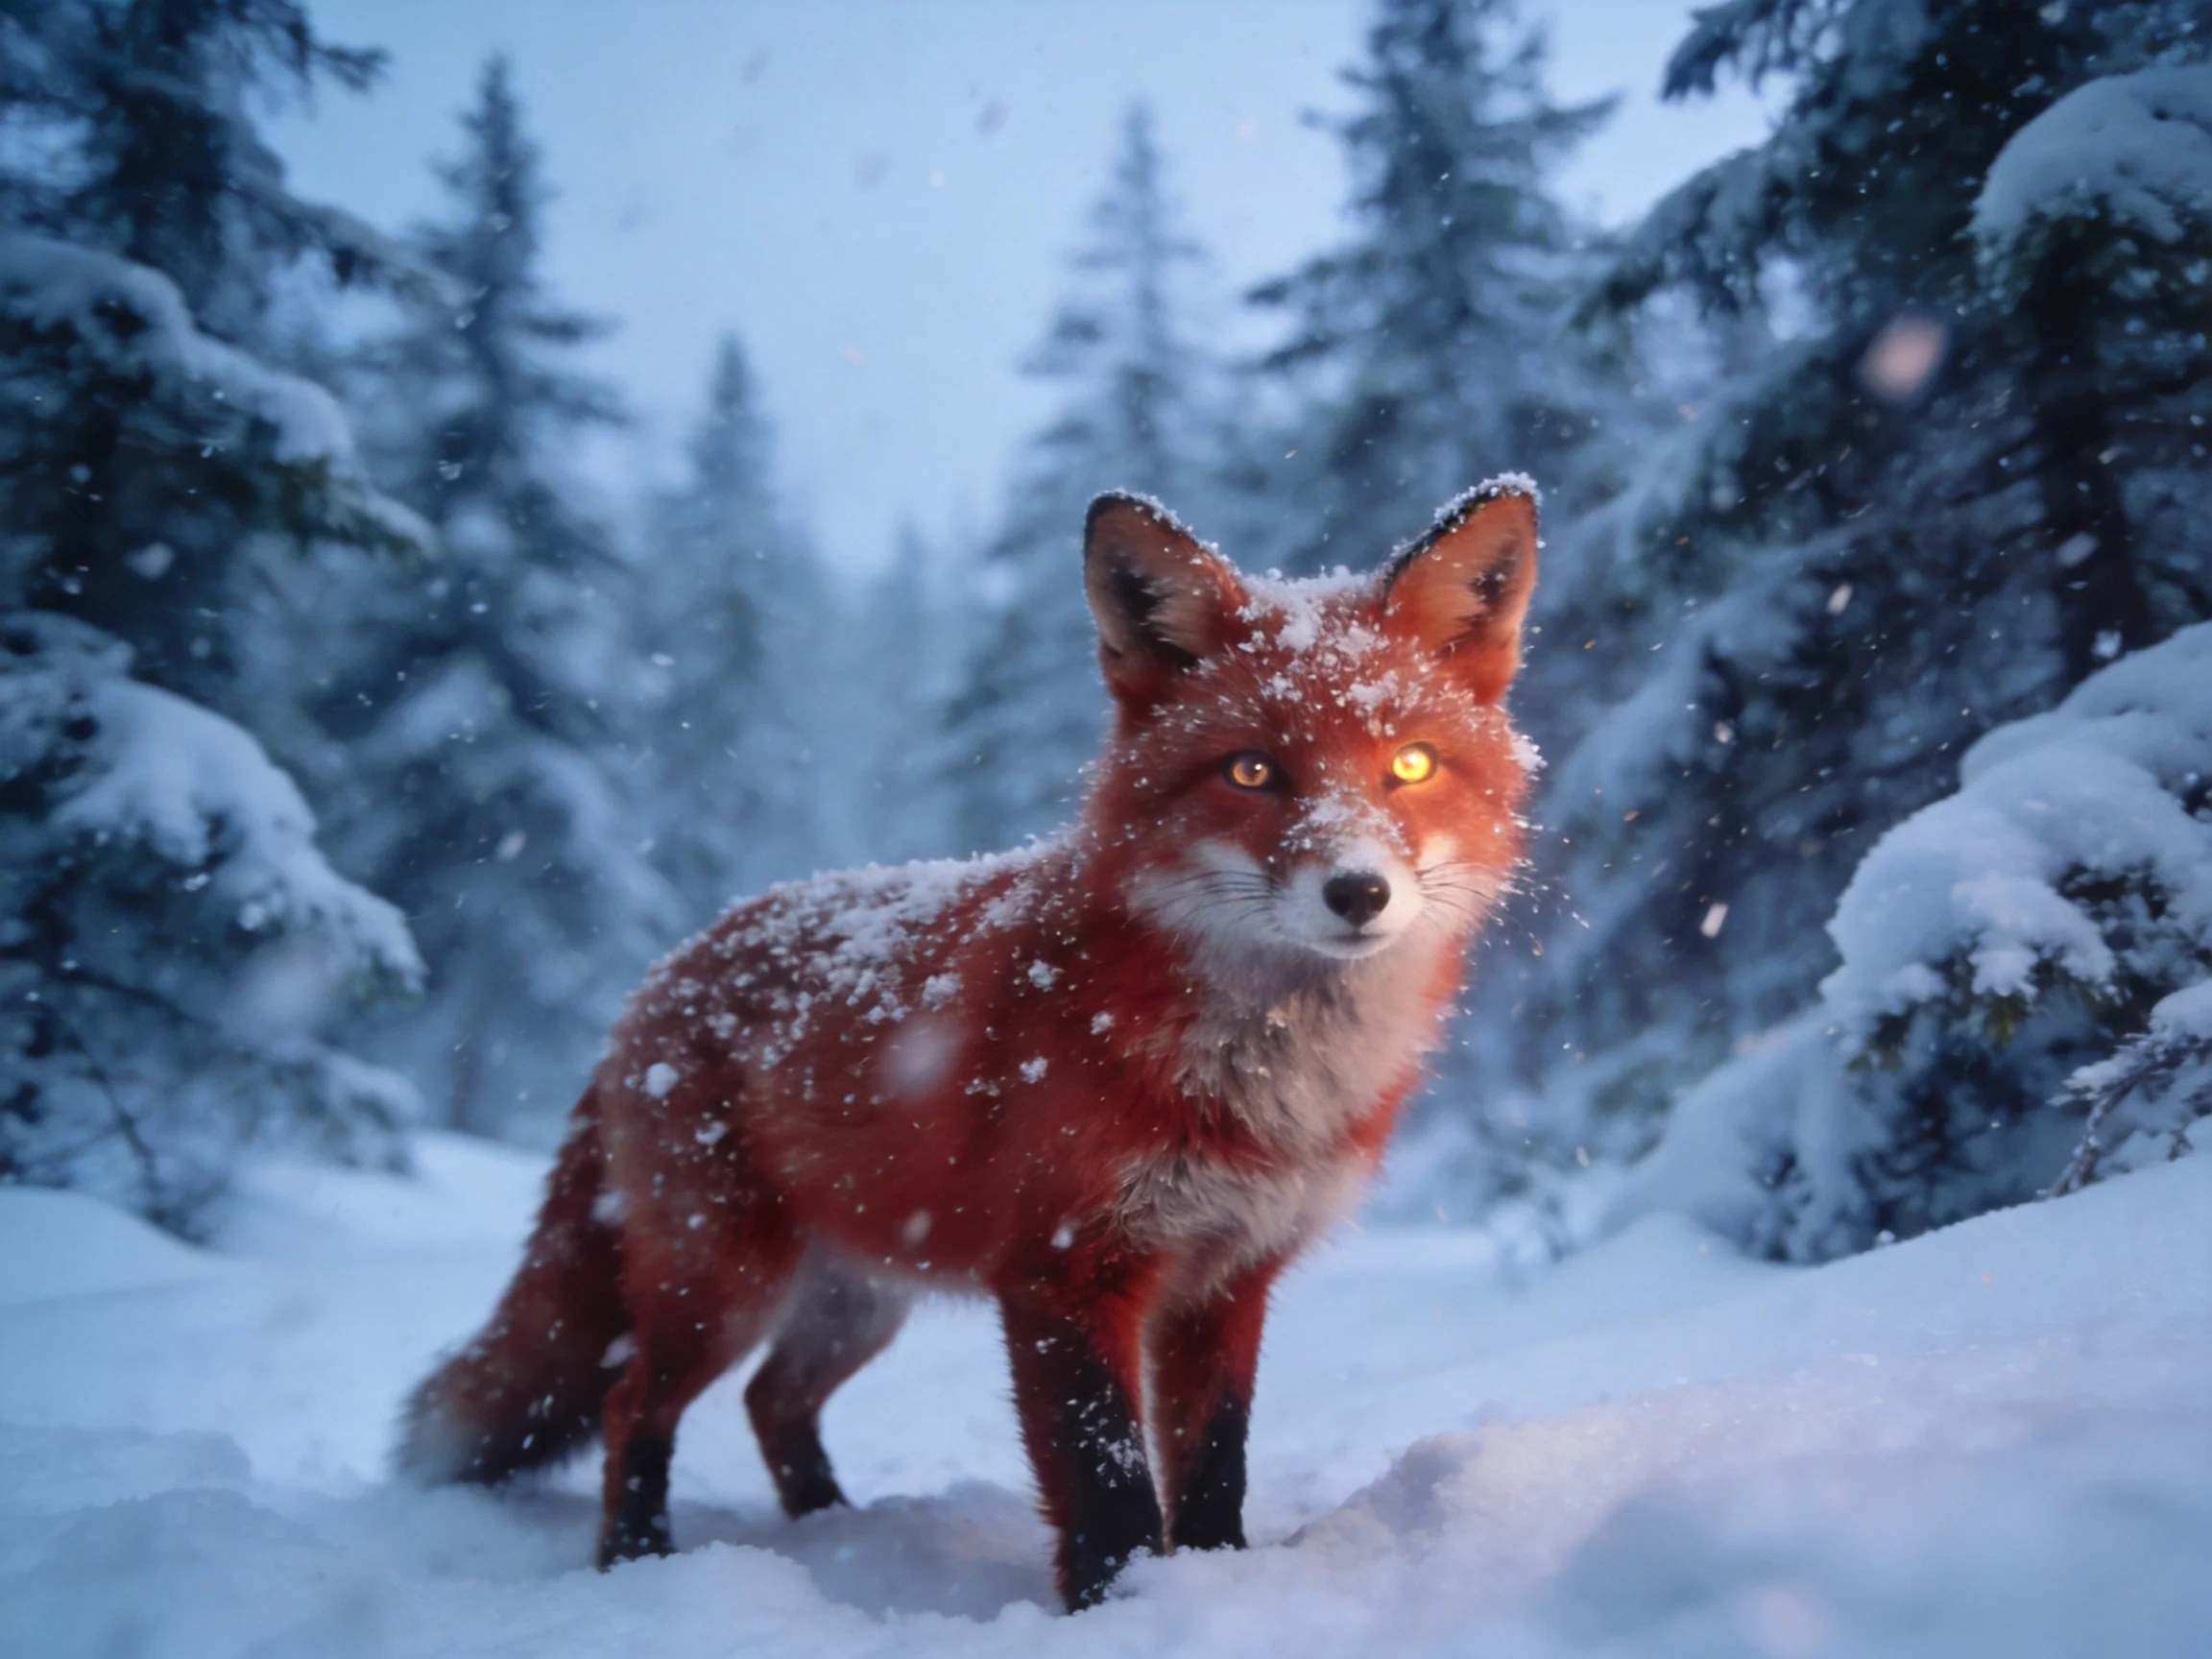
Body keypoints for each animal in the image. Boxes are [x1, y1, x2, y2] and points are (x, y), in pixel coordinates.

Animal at [397, 480, 1540, 1611]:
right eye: (1253, 770)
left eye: (1411, 764)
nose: (1358, 892)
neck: (1261, 1077)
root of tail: (666, 969)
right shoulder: (1065, 1272)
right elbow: (1108, 1484)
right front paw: (1122, 1611)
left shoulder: (1229, 1279)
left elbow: (1215, 1466)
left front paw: (1214, 1583)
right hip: (720, 1287)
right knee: (635, 1404)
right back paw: (637, 1562)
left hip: (855, 1301)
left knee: (772, 1401)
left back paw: (836, 1534)